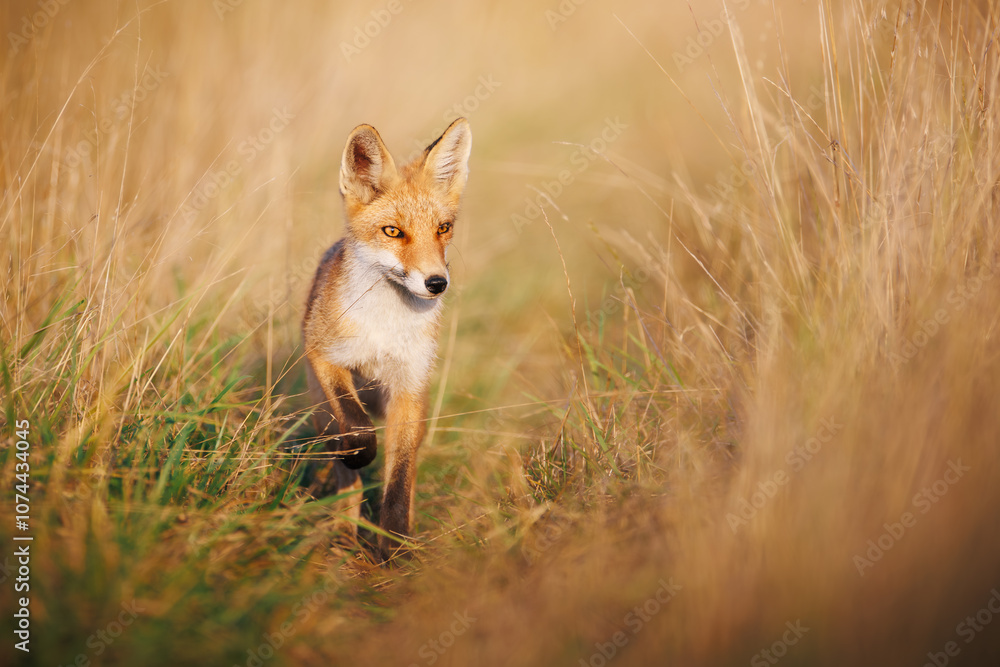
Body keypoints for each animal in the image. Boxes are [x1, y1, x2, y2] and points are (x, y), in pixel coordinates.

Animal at [302, 118, 472, 558]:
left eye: (443, 228)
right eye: (393, 231)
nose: (437, 283)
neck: (386, 329)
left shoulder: (409, 387)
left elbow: (399, 480)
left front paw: (394, 545)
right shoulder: (325, 355)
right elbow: (359, 428)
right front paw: (360, 453)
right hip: (322, 412)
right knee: (344, 472)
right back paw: (343, 534)